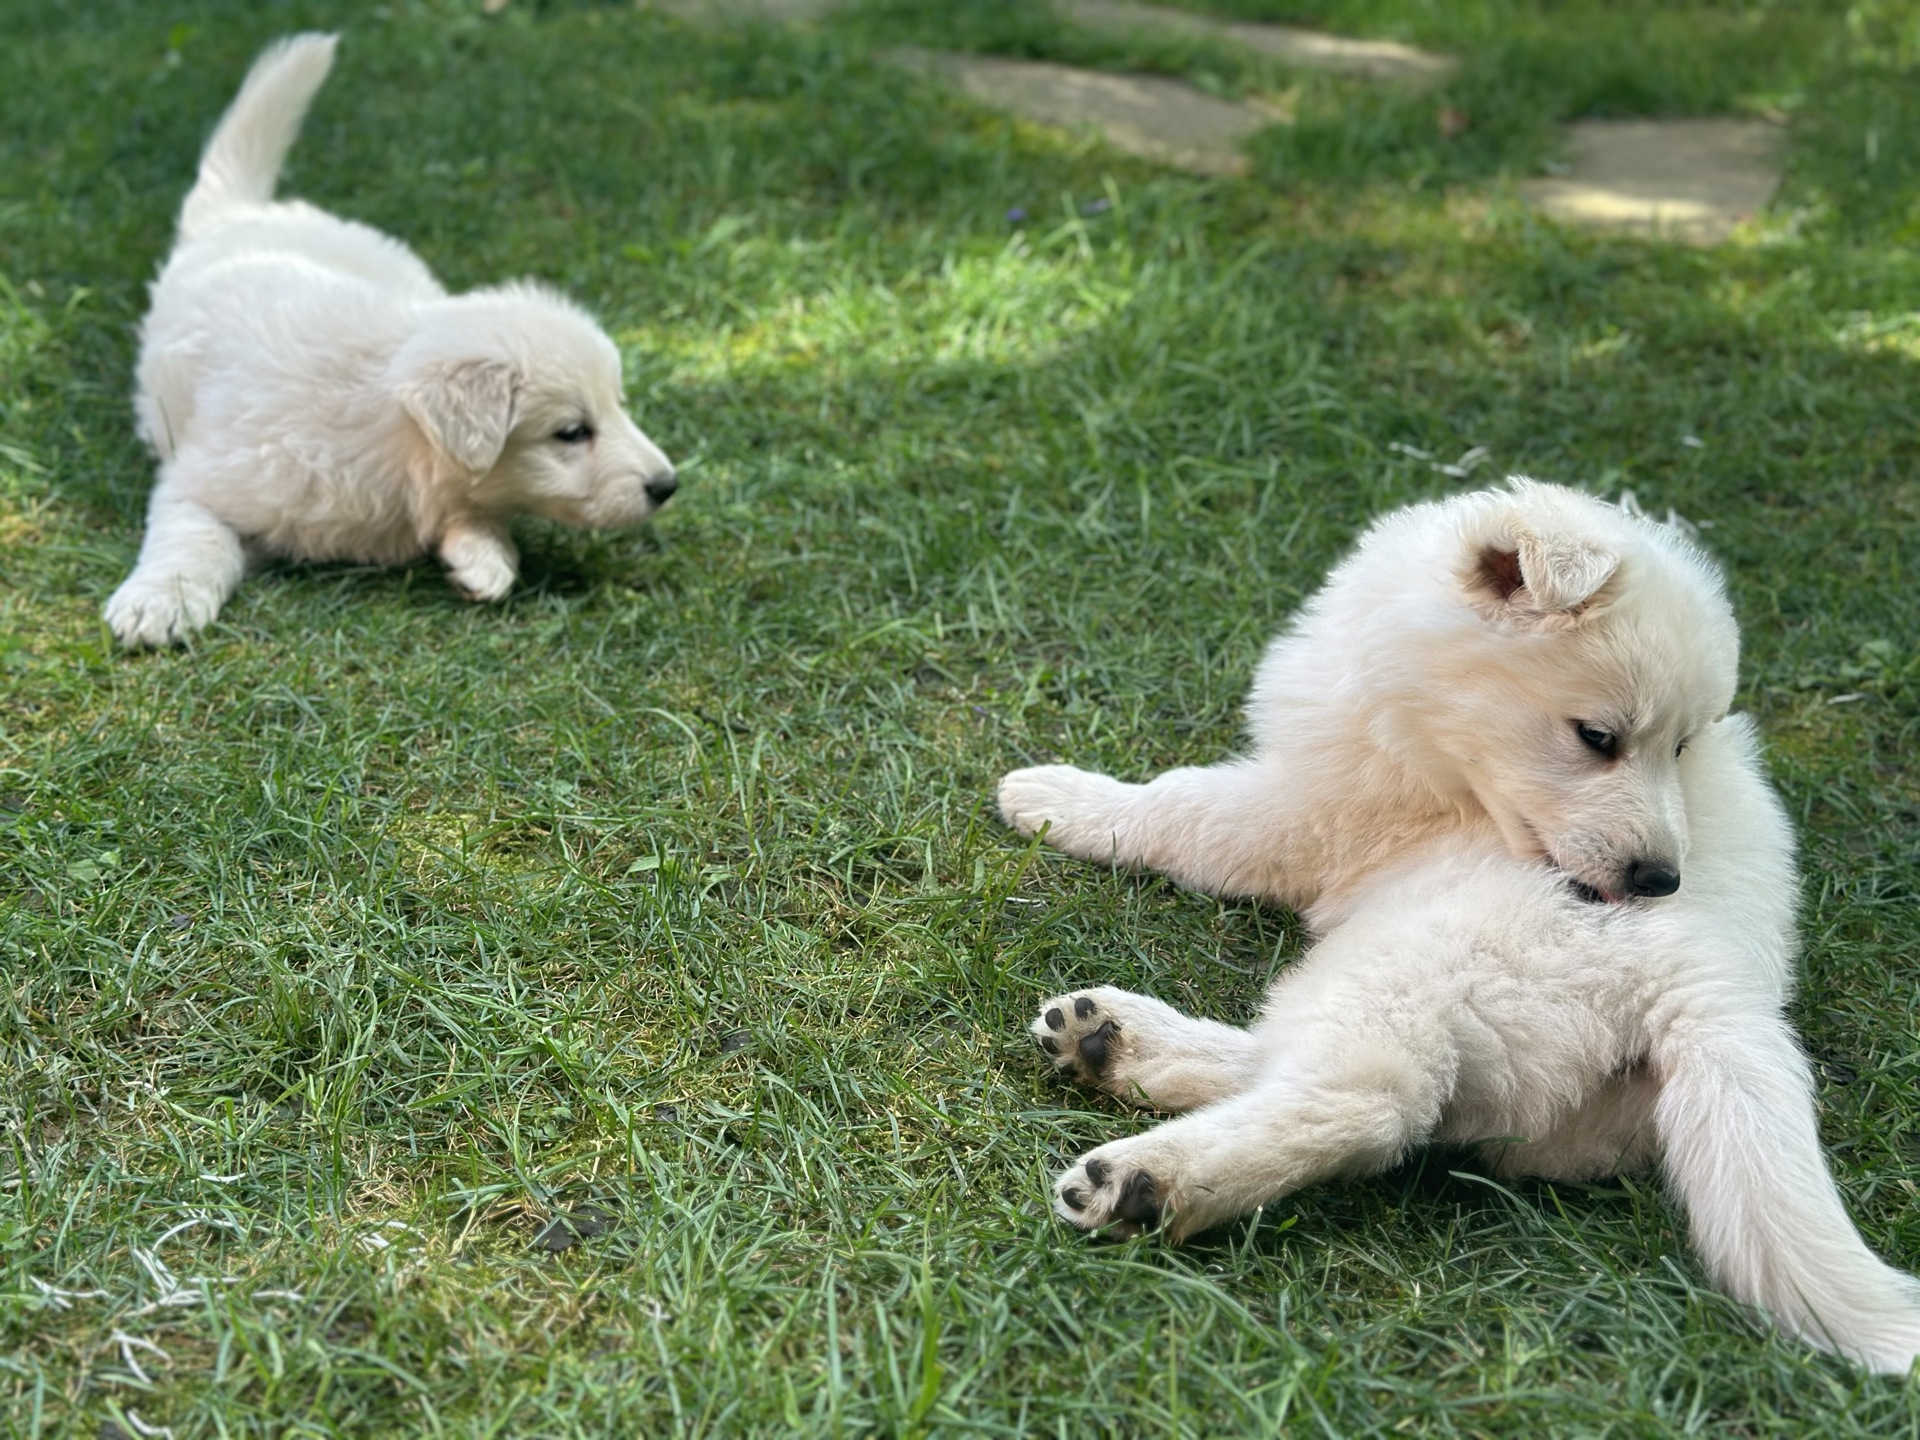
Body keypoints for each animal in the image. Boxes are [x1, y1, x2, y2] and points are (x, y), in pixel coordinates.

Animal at [105, 30, 679, 652]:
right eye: (572, 433)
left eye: (618, 407)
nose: (668, 485)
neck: (385, 436)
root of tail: (241, 212)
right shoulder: (206, 480)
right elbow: (193, 538)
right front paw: (158, 604)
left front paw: (484, 557)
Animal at [998, 481, 1920, 1374]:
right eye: (1600, 737)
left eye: (1679, 745)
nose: (1660, 881)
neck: (1434, 741)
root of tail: (1704, 989)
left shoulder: (1306, 813)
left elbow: (1180, 806)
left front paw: (1057, 798)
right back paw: (1113, 1041)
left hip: (1412, 959)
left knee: (1371, 1103)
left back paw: (1148, 1179)